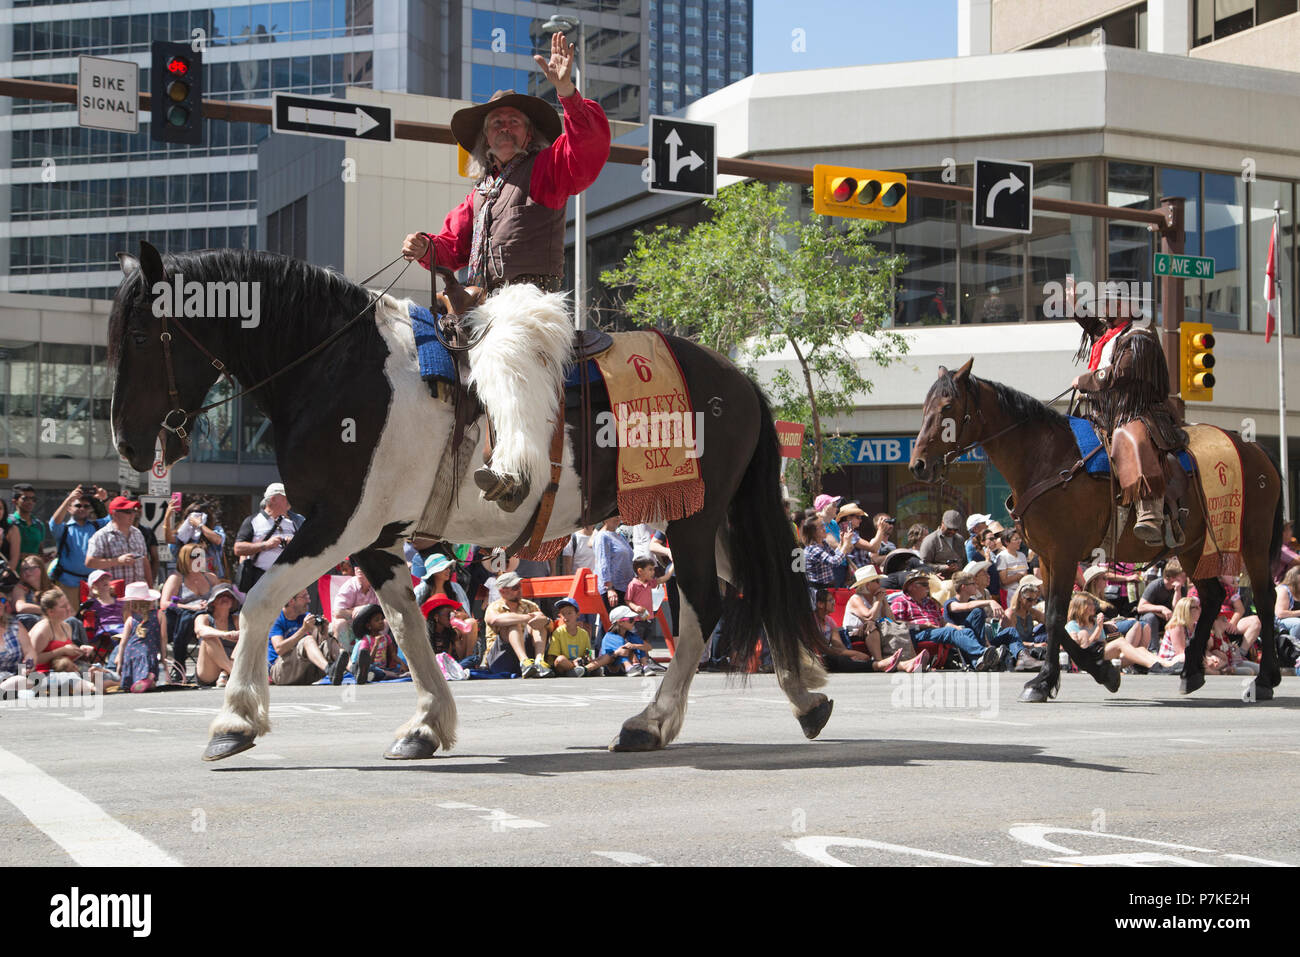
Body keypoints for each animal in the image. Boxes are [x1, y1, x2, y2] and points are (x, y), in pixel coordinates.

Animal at [106, 243, 826, 759]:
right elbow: (406, 625)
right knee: (754, 584)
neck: (338, 368)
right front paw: (426, 725)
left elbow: (258, 601)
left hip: (693, 516)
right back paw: (805, 695)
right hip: (708, 516)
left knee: (706, 604)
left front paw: (235, 721)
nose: (128, 445)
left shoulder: (341, 523)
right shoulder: (376, 538)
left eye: (140, 338)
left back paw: (652, 722)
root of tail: (739, 380)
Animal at [909, 358, 1284, 702]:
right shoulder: (1047, 557)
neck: (1046, 459)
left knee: (1265, 599)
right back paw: (1191, 671)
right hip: (1193, 547)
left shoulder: (1063, 552)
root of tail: (1255, 449)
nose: (918, 465)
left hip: (1251, 540)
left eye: (946, 407)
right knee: (1213, 597)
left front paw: (1046, 682)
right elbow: (1050, 615)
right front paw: (1099, 670)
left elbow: (1055, 615)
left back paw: (1264, 679)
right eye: (924, 407)